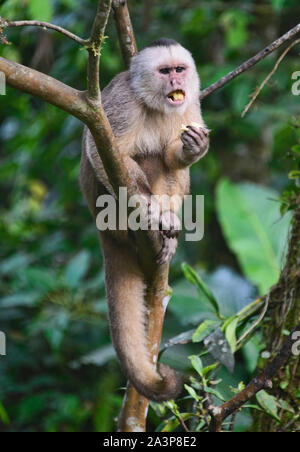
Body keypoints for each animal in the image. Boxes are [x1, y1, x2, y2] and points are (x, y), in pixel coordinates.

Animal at [80, 37, 211, 400]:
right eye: (164, 72)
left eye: (179, 69)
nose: (176, 81)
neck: (155, 105)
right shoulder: (123, 102)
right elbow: (101, 152)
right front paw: (149, 210)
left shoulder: (190, 104)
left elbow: (174, 158)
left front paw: (193, 150)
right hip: (106, 211)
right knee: (133, 163)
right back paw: (150, 218)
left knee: (165, 162)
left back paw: (167, 226)